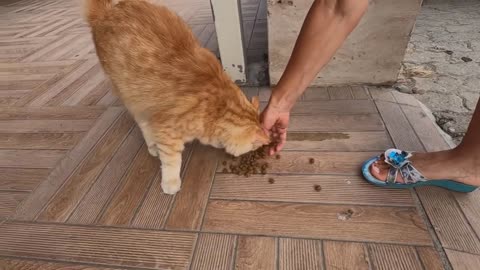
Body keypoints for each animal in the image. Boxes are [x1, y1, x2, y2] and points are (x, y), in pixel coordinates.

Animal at [85, 0, 270, 194]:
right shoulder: (167, 132)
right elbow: (171, 161)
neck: (216, 104)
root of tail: (106, 10)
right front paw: (170, 183)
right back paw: (152, 146)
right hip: (132, 98)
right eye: (254, 146)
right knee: (144, 124)